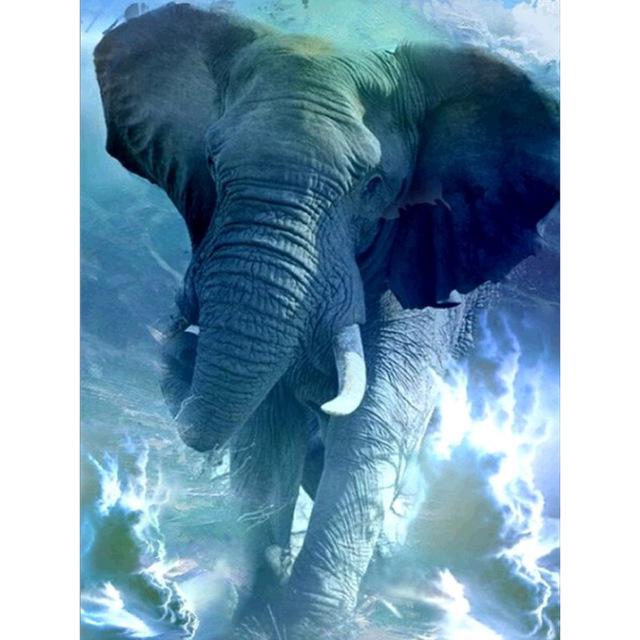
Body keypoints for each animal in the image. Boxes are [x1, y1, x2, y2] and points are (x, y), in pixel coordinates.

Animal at [94, 3, 559, 638]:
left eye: (372, 185)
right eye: (212, 162)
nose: (178, 341)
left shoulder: (434, 248)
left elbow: (378, 412)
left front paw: (301, 622)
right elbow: (269, 416)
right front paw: (257, 612)